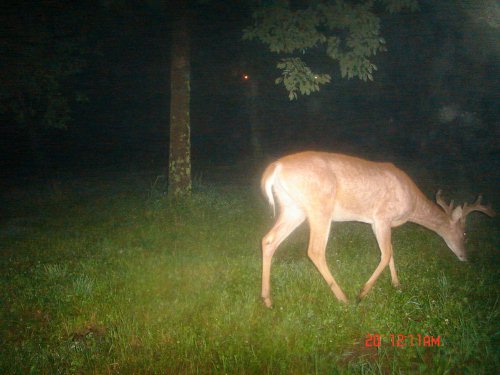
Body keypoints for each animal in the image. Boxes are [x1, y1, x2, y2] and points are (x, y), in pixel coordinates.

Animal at [260, 152, 494, 308]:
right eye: (465, 234)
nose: (465, 256)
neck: (413, 203)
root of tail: (275, 168)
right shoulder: (382, 217)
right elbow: (387, 253)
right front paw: (362, 293)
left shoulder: (380, 222)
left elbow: (390, 251)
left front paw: (397, 284)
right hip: (319, 208)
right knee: (315, 251)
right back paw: (344, 298)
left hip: (293, 208)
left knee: (268, 240)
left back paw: (267, 300)